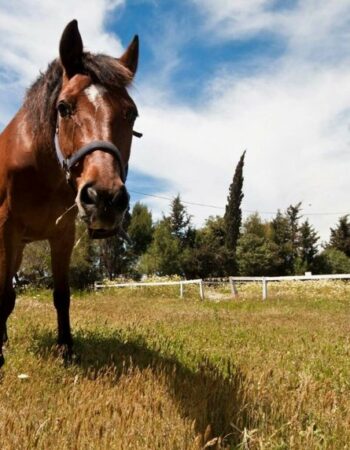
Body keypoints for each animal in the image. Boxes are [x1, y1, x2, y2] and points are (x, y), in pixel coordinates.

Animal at [0, 19, 139, 368]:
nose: (105, 198)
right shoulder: (6, 228)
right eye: (63, 107)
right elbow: (4, 294)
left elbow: (61, 295)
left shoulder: (62, 233)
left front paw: (66, 350)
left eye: (131, 113)